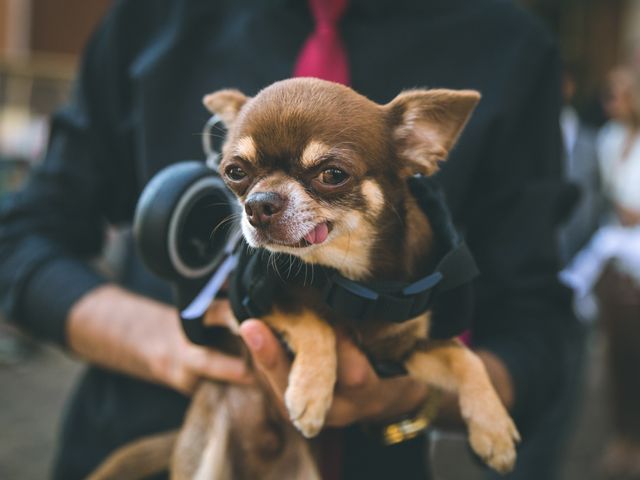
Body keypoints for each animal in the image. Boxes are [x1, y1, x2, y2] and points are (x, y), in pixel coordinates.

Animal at [90, 77, 520, 478]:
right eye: (235, 172)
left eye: (333, 174)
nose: (258, 204)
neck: (350, 279)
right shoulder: (243, 310)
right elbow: (314, 323)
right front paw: (311, 391)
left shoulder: (398, 352)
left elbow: (464, 358)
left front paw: (494, 429)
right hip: (205, 449)